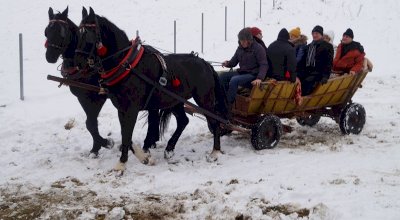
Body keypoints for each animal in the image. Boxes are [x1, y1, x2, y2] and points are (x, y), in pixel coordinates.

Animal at [44, 6, 115, 156]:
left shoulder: (98, 97)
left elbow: (91, 123)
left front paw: (105, 143)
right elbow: (90, 124)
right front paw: (96, 147)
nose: (50, 56)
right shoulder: (82, 97)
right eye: (46, 31)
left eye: (62, 32)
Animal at [74, 7, 228, 172]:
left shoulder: (131, 108)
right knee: (183, 121)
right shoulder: (122, 108)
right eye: (78, 33)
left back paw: (215, 152)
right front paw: (144, 157)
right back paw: (169, 149)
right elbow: (125, 135)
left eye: (87, 34)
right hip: (175, 101)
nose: (77, 63)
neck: (127, 65)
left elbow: (127, 134)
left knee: (214, 121)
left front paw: (122, 163)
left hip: (204, 99)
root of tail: (205, 63)